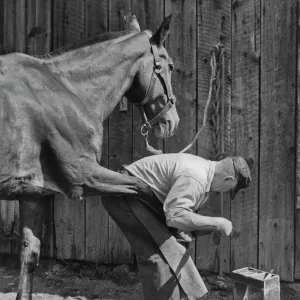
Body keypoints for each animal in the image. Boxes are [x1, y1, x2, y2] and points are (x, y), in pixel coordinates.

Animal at [0, 15, 179, 298]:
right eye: (169, 65)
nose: (171, 121)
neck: (66, 90)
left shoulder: (33, 194)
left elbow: (29, 257)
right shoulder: (85, 177)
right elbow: (142, 187)